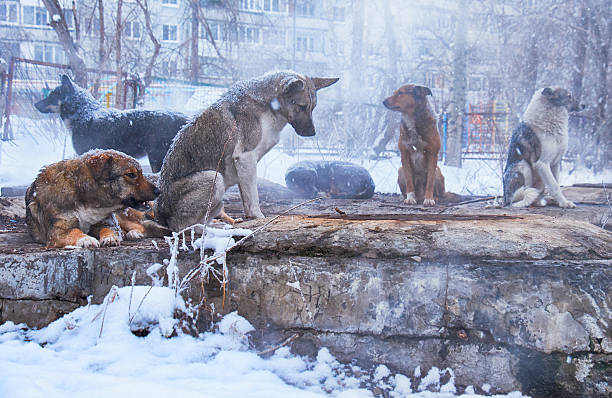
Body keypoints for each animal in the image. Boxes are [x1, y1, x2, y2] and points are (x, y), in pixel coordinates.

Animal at [26, 150, 160, 249]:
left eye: (141, 173)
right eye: (131, 174)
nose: (158, 191)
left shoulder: (107, 222)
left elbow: (107, 229)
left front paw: (109, 237)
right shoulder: (56, 232)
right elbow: (75, 231)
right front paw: (86, 239)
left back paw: (134, 233)